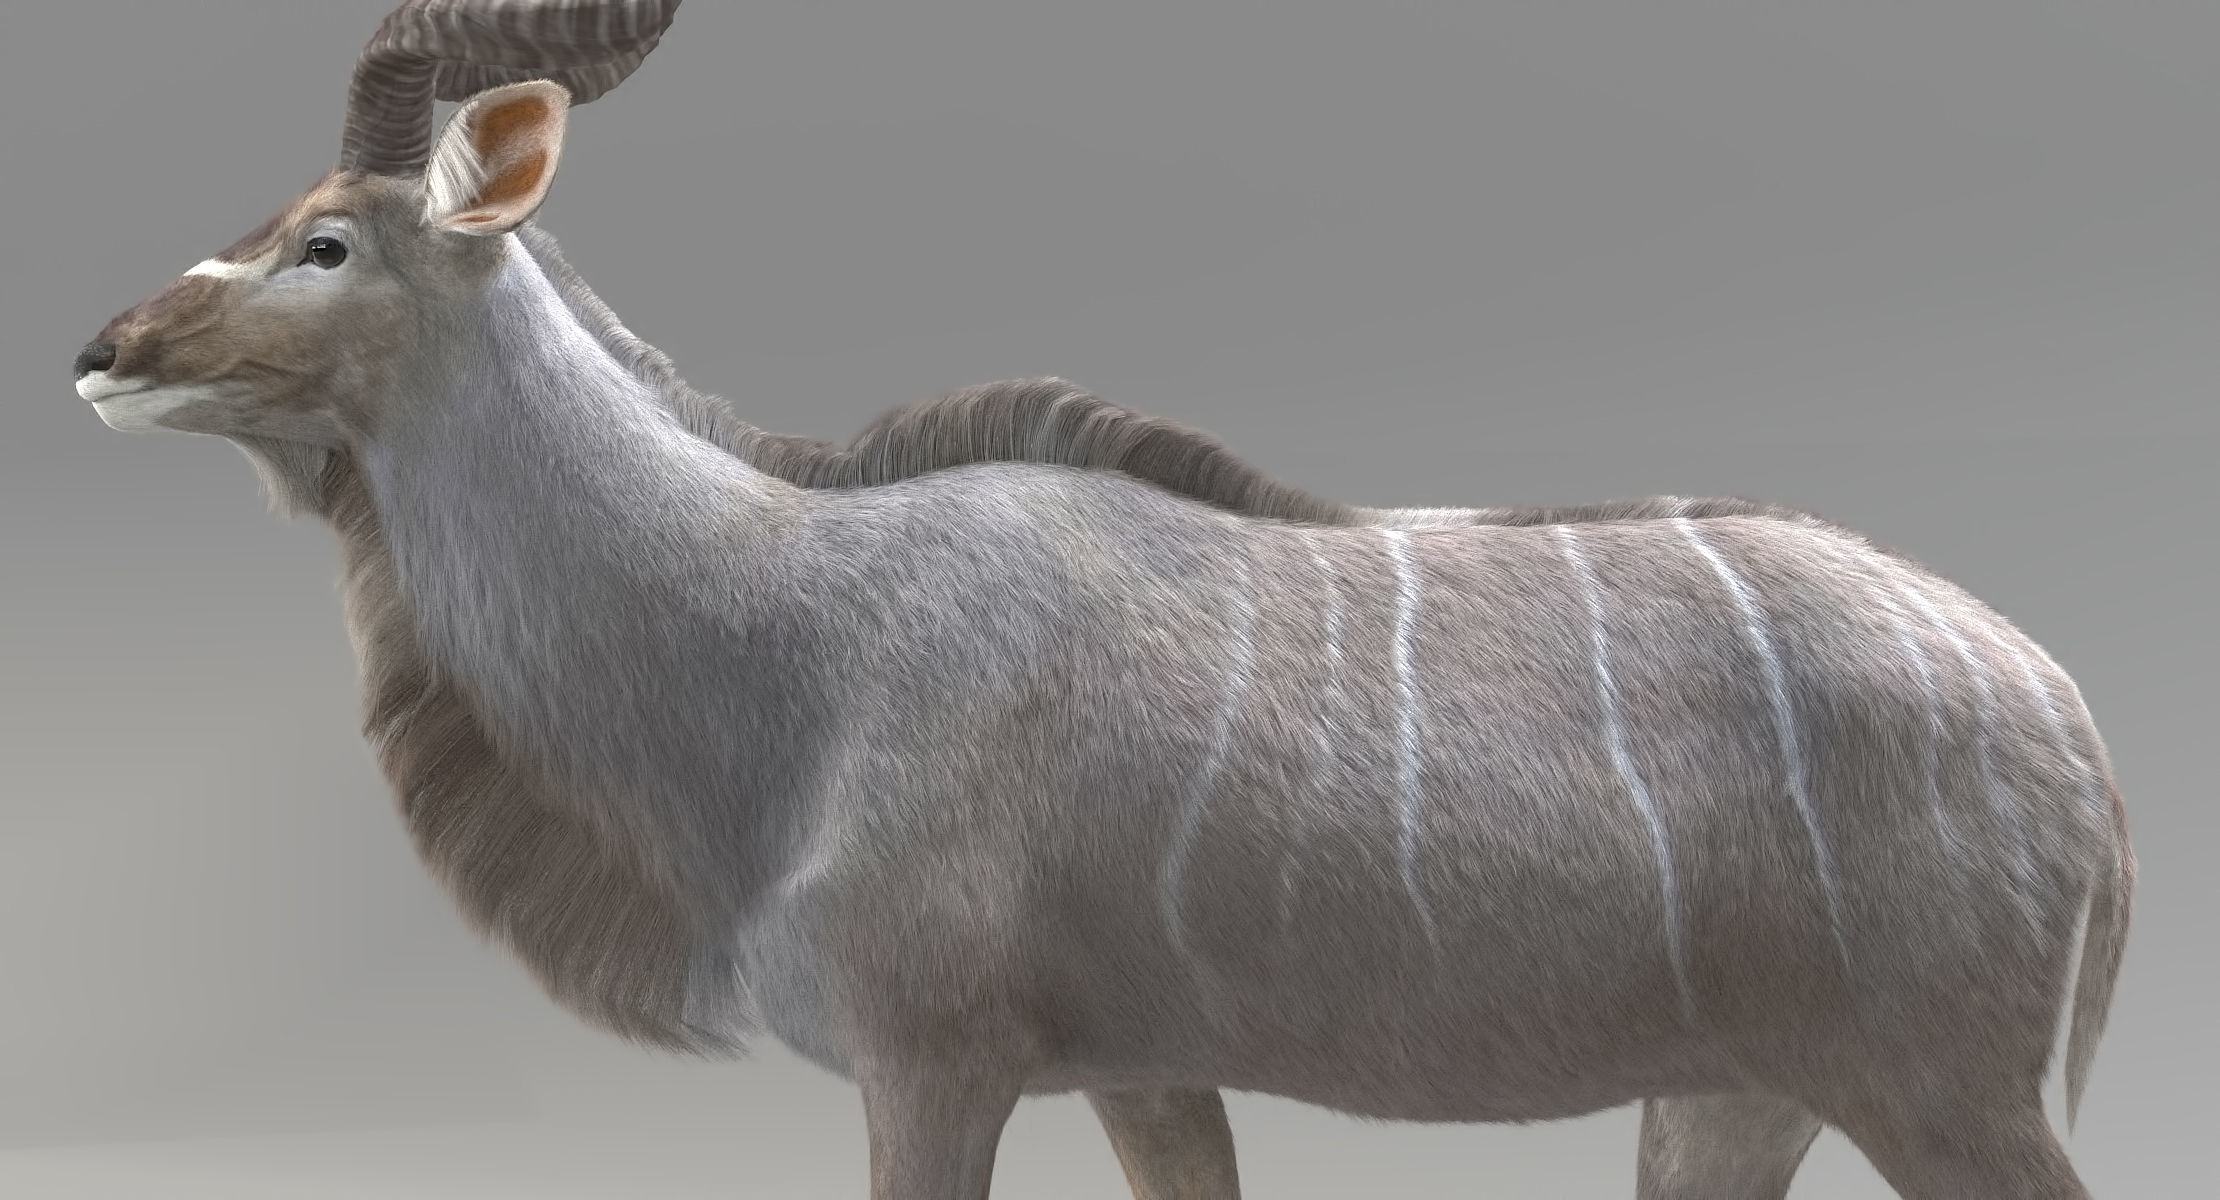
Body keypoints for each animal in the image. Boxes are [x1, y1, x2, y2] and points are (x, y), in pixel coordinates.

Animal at [73, 3, 2133, 1197]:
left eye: (327, 239)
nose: (103, 352)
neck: (789, 629)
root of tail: (2068, 720)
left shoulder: (932, 1066)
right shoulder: (1146, 1078)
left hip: (1946, 1093)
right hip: (1743, 1095)